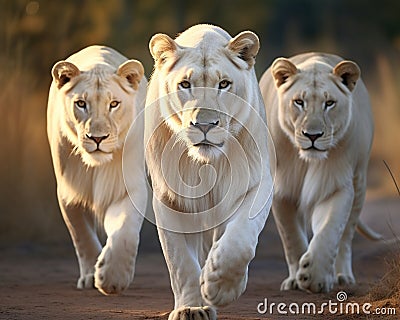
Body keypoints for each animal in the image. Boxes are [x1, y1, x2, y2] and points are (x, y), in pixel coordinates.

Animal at [47, 45, 147, 296]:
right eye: (81, 104)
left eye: (114, 104)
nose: (98, 138)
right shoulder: (69, 191)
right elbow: (81, 234)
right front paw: (92, 276)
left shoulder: (127, 186)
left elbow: (125, 230)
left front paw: (113, 278)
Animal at [145, 23, 274, 318]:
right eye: (185, 84)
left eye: (223, 84)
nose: (204, 124)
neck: (206, 163)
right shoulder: (169, 198)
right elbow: (181, 261)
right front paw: (192, 307)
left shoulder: (257, 182)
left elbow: (240, 239)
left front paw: (220, 285)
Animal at [260, 52, 376, 292]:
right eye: (299, 102)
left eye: (329, 103)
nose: (312, 135)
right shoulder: (282, 190)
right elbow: (292, 237)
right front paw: (296, 280)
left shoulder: (337, 185)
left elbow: (330, 231)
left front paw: (315, 277)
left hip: (360, 183)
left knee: (346, 237)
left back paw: (342, 276)